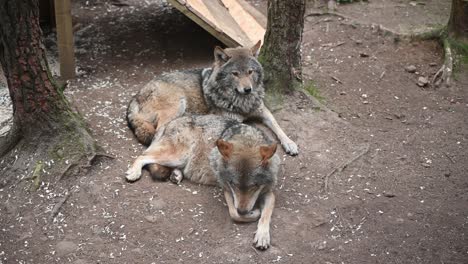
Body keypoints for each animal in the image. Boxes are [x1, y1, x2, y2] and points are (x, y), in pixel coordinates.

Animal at [125, 114, 278, 249]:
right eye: (234, 185)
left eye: (254, 186)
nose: (244, 210)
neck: (247, 140)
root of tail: (170, 123)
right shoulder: (226, 189)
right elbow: (234, 214)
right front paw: (254, 213)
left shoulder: (268, 193)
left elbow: (266, 215)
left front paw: (262, 236)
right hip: (178, 156)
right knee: (143, 156)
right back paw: (134, 172)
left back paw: (176, 175)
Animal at [126, 41, 298, 156]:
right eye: (235, 74)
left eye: (250, 72)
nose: (248, 89)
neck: (243, 102)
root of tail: (135, 98)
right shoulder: (232, 120)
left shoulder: (263, 111)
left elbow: (277, 126)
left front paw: (290, 143)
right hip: (178, 105)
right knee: (158, 131)